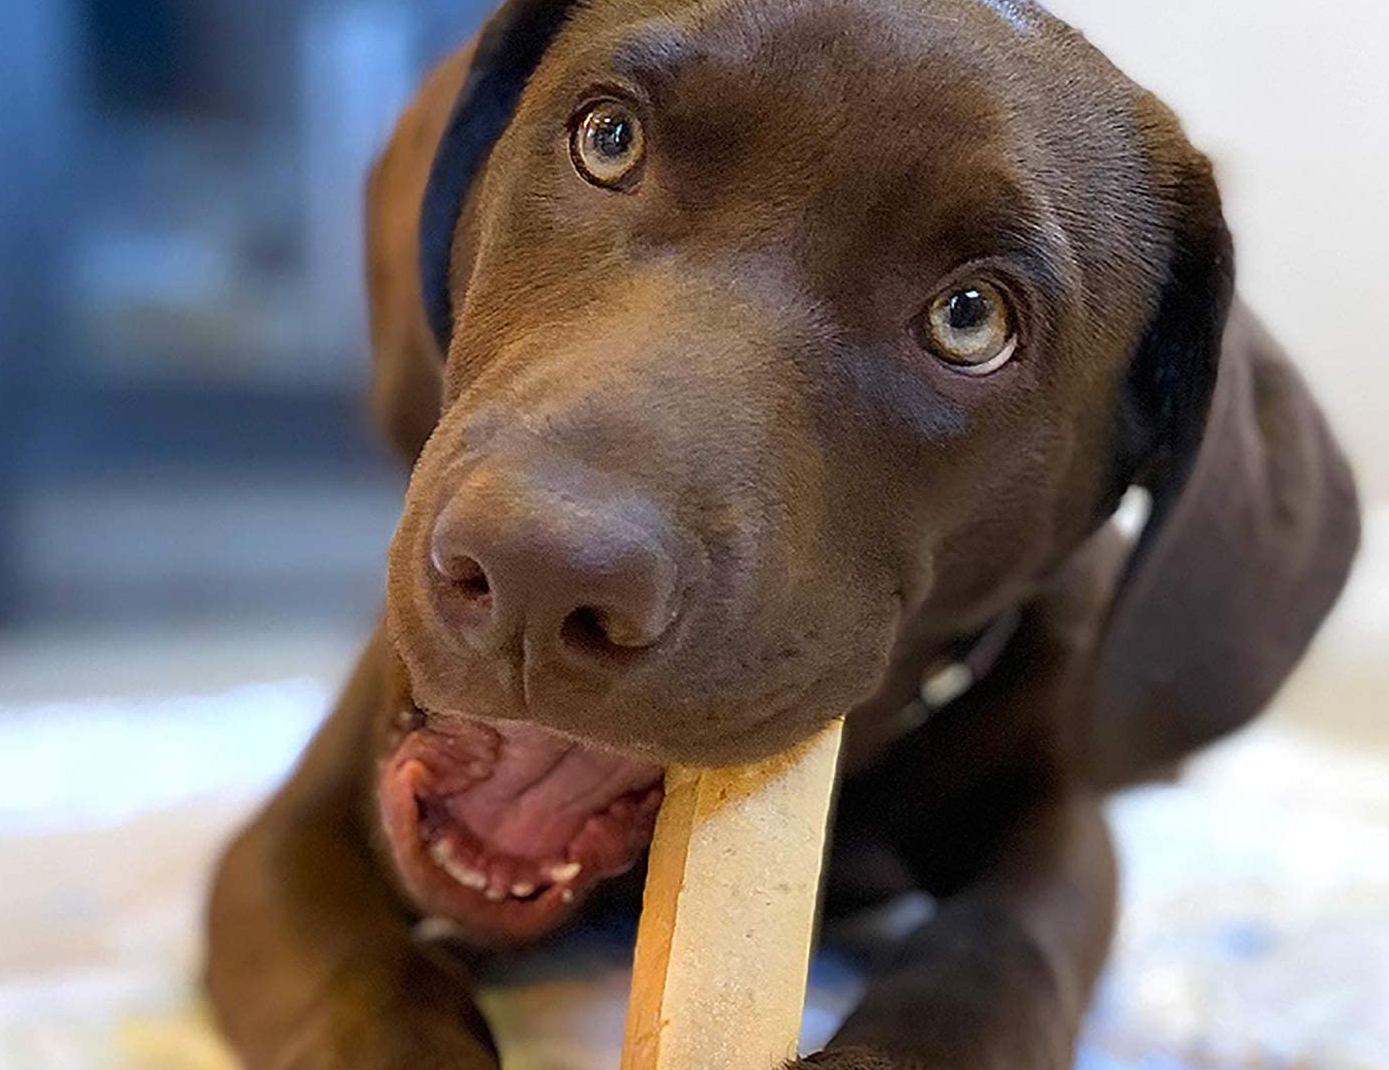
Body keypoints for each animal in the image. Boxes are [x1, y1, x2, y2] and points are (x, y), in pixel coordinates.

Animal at [202, 0, 1355, 1061]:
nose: (537, 568)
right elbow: (364, 983)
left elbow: (999, 948)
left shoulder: (1060, 821)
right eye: (607, 139)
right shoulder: (290, 836)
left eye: (971, 318)